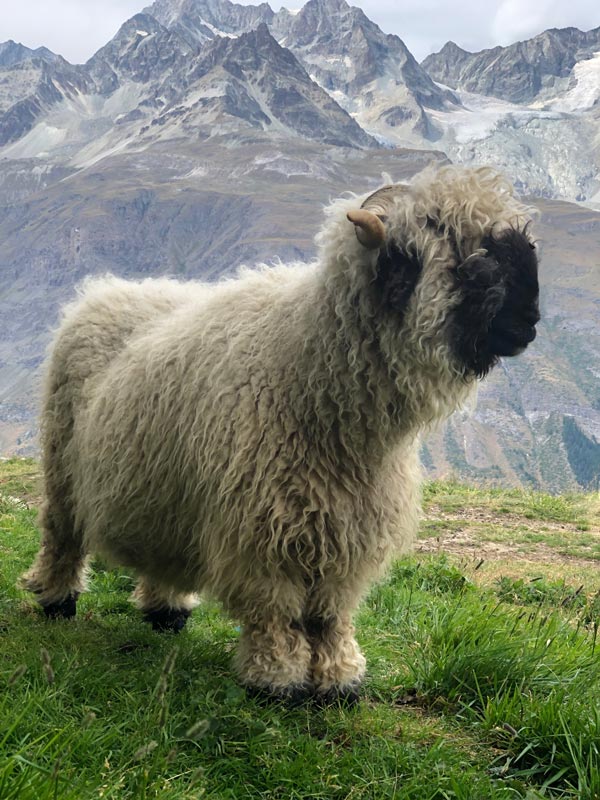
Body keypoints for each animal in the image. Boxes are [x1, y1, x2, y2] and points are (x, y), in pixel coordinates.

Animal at [21, 165, 540, 705]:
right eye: (449, 243)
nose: (529, 319)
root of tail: (106, 290)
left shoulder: (349, 531)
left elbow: (331, 614)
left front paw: (340, 678)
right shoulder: (263, 530)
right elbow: (277, 611)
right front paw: (275, 677)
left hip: (166, 489)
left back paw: (167, 610)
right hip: (62, 463)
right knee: (60, 534)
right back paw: (56, 600)